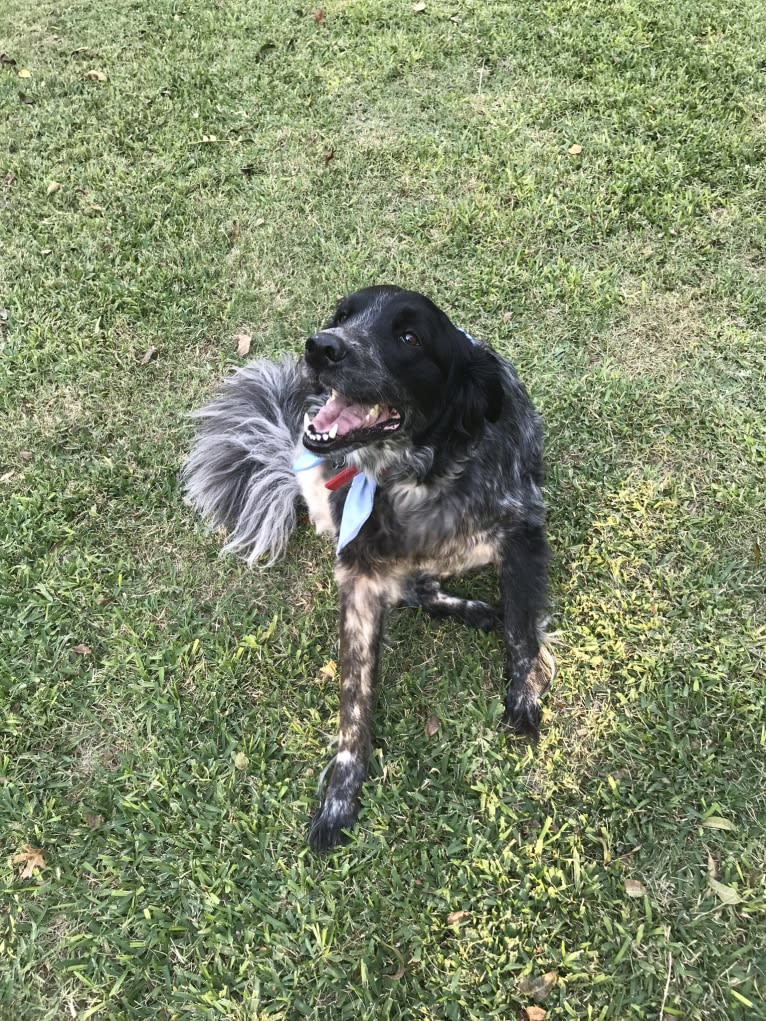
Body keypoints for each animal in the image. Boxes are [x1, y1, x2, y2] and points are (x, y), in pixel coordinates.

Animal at [185, 283, 559, 849]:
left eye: (409, 338)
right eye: (342, 316)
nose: (321, 347)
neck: (418, 478)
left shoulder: (523, 530)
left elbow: (522, 630)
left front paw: (524, 696)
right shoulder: (357, 578)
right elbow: (353, 702)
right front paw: (341, 797)